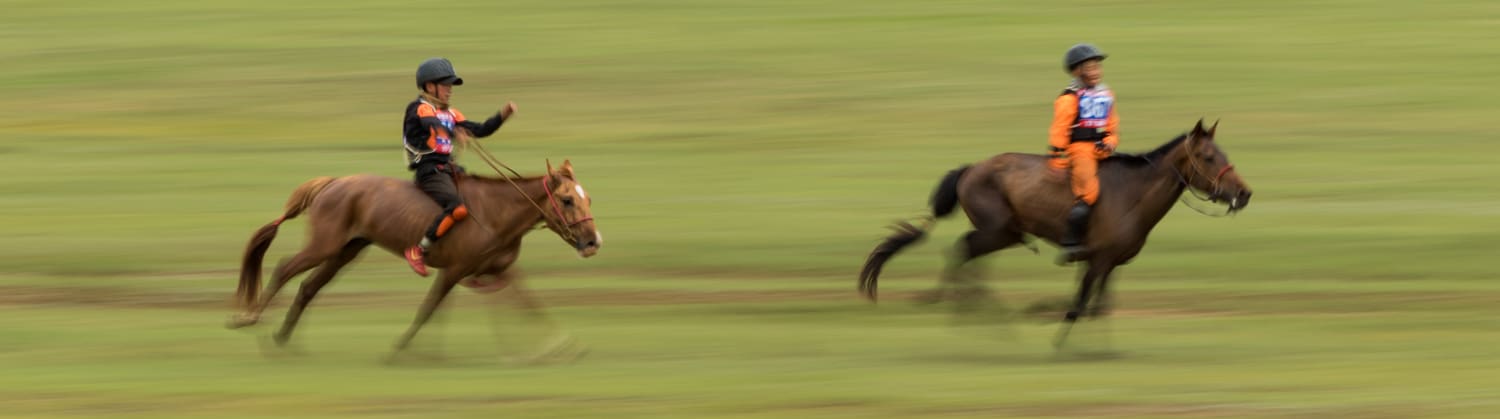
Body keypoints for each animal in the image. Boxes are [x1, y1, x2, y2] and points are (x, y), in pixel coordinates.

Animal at [225, 159, 600, 355]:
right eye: (567, 199)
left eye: (588, 198)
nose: (592, 242)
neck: (495, 212)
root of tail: (332, 183)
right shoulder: (455, 270)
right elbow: (429, 308)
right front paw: (402, 348)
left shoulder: (496, 271)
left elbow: (528, 303)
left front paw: (559, 345)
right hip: (324, 246)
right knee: (284, 269)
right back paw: (250, 318)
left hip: (346, 251)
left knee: (308, 287)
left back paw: (282, 338)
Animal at [858, 120, 1254, 348]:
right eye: (1208, 157)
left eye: (1222, 153)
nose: (1244, 193)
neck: (1132, 194)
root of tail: (969, 169)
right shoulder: (1097, 260)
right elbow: (1078, 307)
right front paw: (1057, 336)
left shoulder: (1107, 263)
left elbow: (1098, 307)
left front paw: (1100, 349)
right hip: (999, 231)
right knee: (962, 250)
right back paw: (977, 315)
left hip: (1005, 233)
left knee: (967, 254)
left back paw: (980, 315)